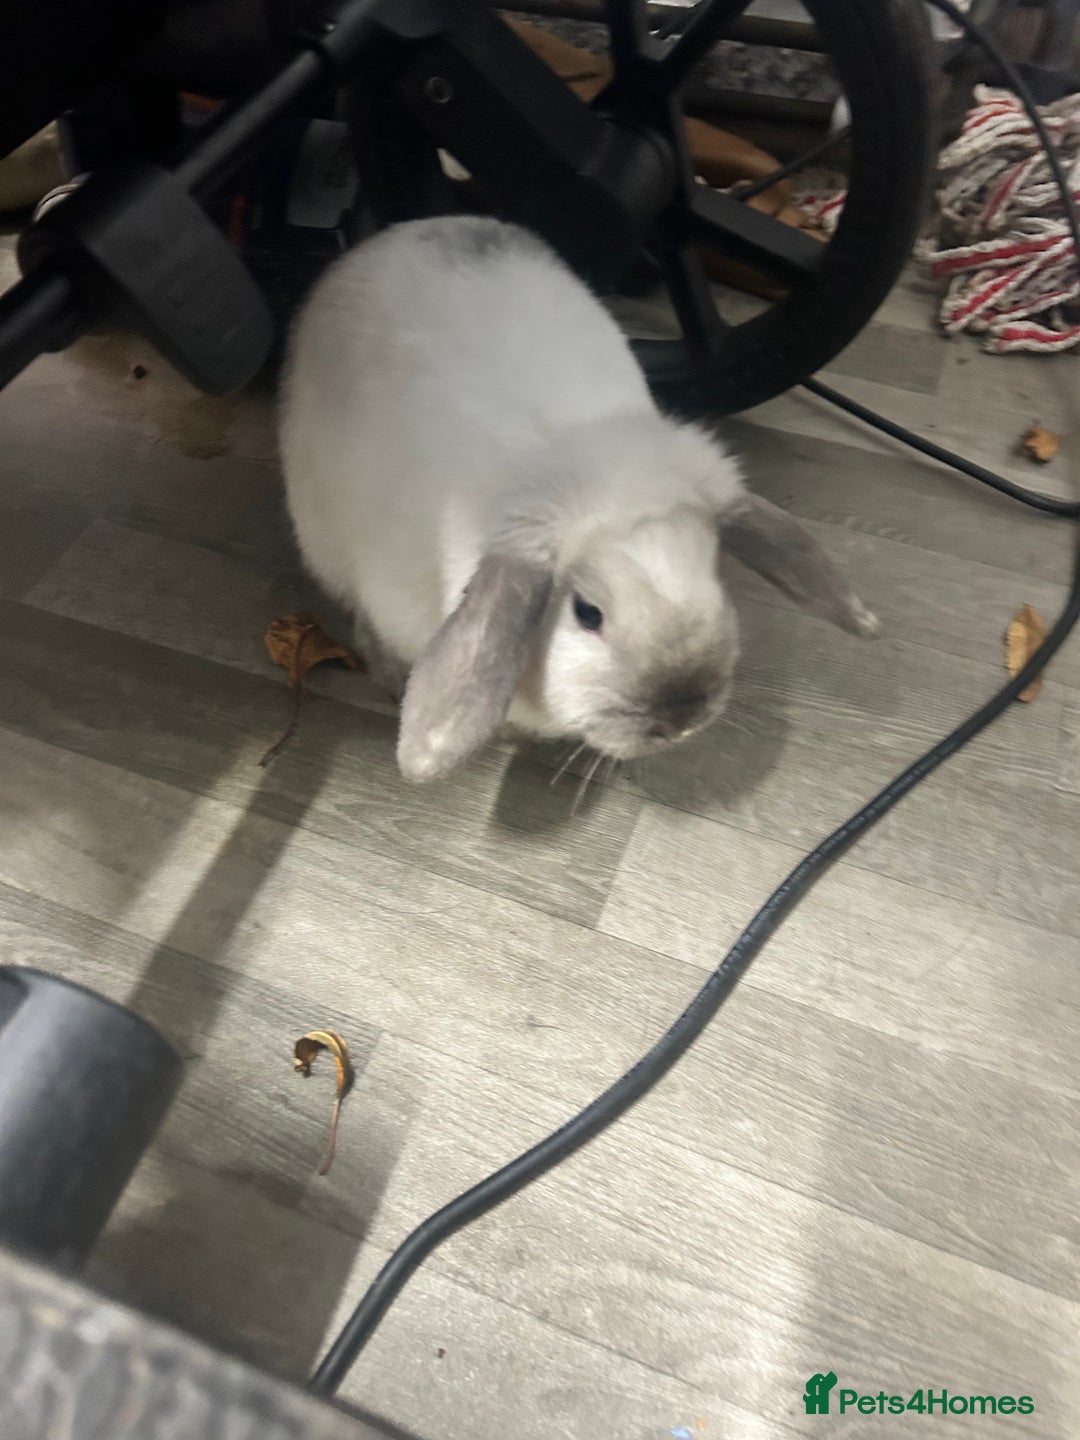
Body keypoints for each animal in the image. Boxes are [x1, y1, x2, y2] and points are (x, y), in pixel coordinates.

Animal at [279, 215, 876, 783]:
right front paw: (393, 683)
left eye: (714, 573)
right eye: (587, 613)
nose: (682, 719)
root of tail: (401, 231)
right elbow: (374, 632)